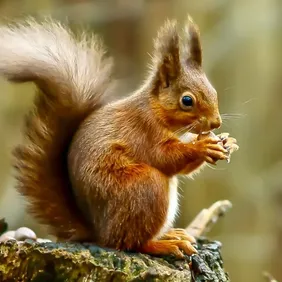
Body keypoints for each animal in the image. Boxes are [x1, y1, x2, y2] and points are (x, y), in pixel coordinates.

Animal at [0, 15, 238, 258]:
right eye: (187, 100)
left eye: (214, 92)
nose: (216, 123)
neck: (156, 111)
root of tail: (98, 232)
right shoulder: (144, 131)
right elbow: (165, 157)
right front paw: (203, 146)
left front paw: (227, 142)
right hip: (144, 187)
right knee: (130, 243)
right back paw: (164, 244)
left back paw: (170, 235)